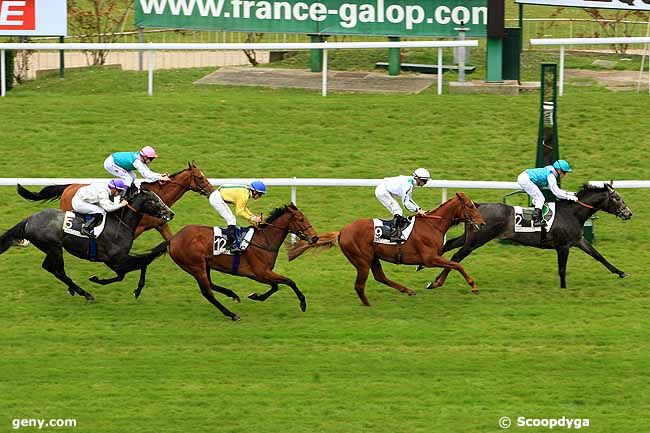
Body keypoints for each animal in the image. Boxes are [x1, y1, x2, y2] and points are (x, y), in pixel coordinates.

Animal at [0, 189, 175, 300]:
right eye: (153, 200)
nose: (171, 213)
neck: (120, 224)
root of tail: (29, 219)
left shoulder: (116, 260)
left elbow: (130, 271)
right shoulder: (116, 259)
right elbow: (141, 264)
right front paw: (136, 290)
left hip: (52, 249)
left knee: (51, 268)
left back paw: (74, 289)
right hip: (54, 247)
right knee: (57, 270)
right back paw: (85, 293)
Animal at [17, 160, 213, 240]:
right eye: (200, 177)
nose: (211, 190)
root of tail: (68, 187)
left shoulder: (160, 225)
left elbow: (170, 241)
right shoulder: (135, 228)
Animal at [147, 203, 318, 320]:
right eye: (301, 219)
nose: (315, 238)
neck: (264, 240)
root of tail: (172, 240)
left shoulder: (261, 274)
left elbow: (276, 286)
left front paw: (255, 296)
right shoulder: (261, 273)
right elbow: (289, 281)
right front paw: (303, 303)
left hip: (204, 265)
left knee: (210, 285)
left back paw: (233, 295)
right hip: (196, 266)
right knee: (207, 292)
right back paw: (232, 314)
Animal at [286, 192, 484, 308]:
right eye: (470, 206)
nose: (482, 223)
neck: (433, 225)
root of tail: (342, 231)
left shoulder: (433, 258)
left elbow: (452, 265)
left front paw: (435, 283)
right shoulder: (429, 258)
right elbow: (456, 265)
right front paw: (473, 286)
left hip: (373, 257)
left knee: (380, 277)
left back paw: (407, 290)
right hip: (362, 261)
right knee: (360, 285)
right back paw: (368, 305)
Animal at [428, 183, 632, 288]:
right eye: (617, 198)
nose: (628, 213)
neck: (572, 213)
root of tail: (477, 206)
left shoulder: (578, 240)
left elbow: (599, 256)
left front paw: (621, 272)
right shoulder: (563, 246)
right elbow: (562, 269)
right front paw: (563, 288)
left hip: (469, 237)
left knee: (448, 246)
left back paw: (427, 270)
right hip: (477, 240)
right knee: (456, 257)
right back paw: (435, 282)